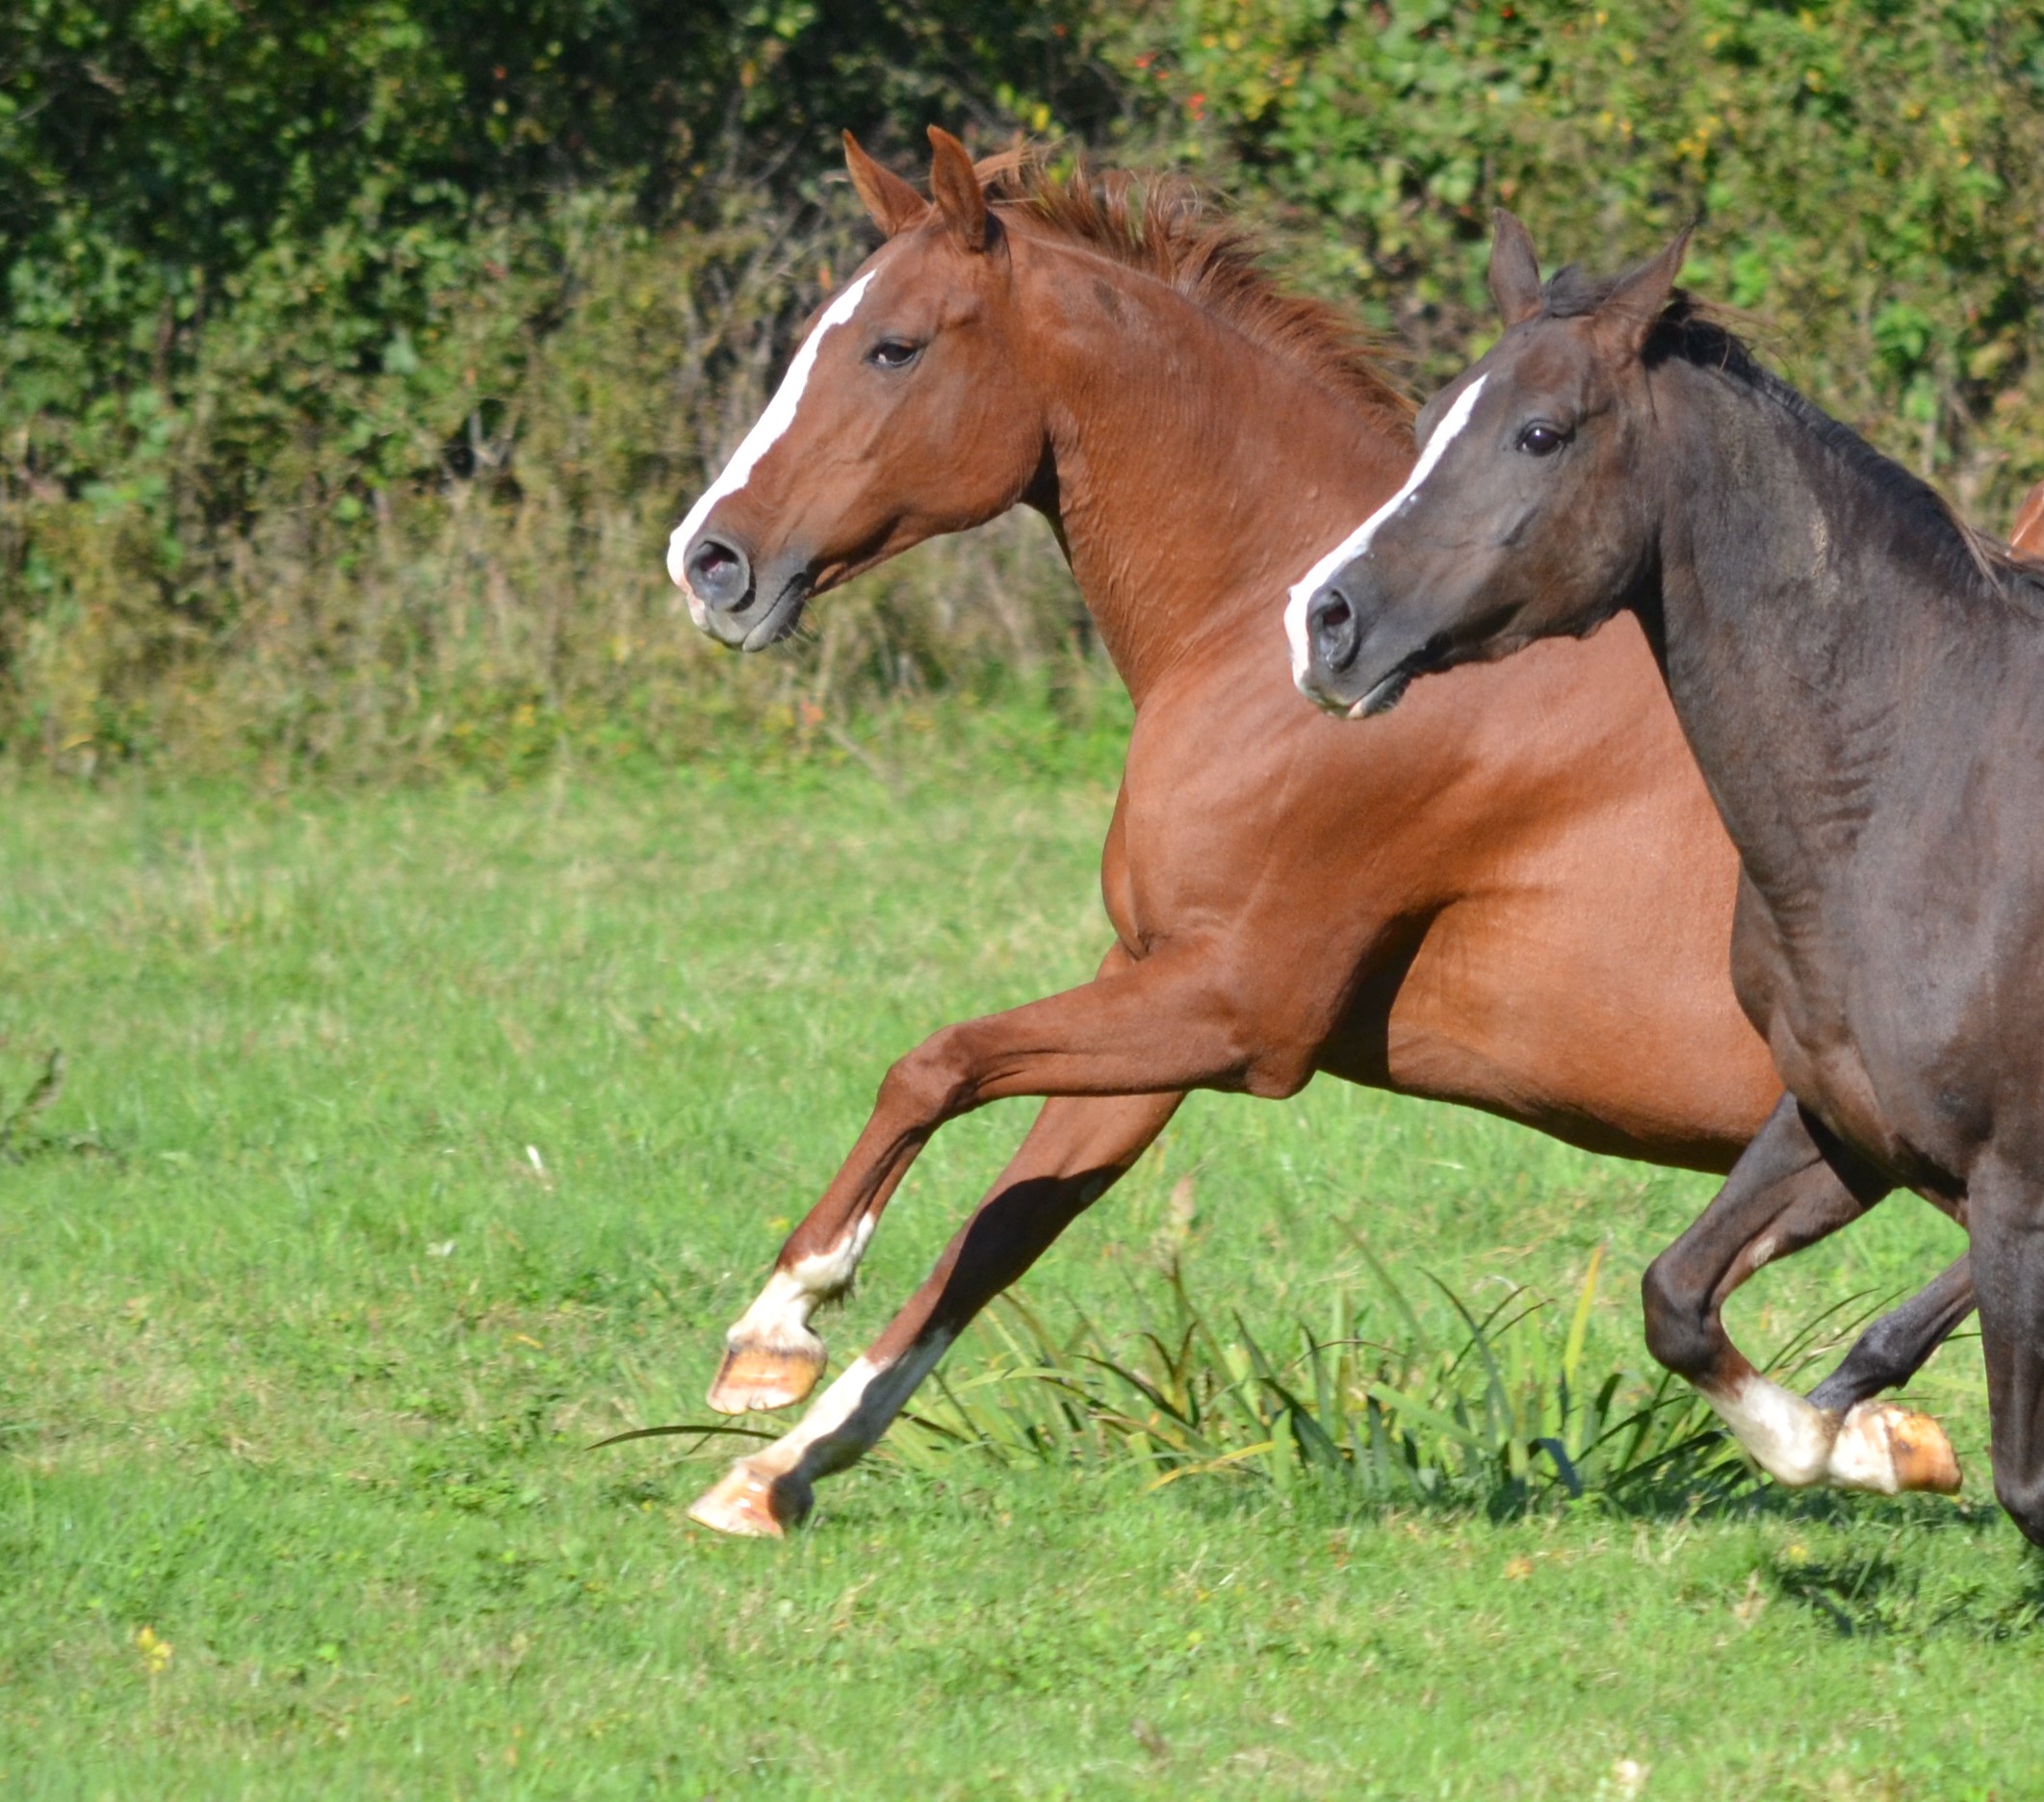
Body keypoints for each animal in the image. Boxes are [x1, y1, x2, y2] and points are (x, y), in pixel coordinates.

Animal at [664, 132, 1965, 1536]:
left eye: (892, 348)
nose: (708, 560)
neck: (1261, 636)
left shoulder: (1238, 1007)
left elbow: (933, 1065)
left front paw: (774, 1330)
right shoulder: (1157, 996)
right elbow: (998, 1234)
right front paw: (777, 1472)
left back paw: (1857, 1430)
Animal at [1291, 211, 2044, 1537]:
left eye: (1540, 432)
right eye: (1433, 414)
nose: (1324, 622)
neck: (1916, 793)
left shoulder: (2010, 1186)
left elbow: (2024, 1483)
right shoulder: (1837, 1124)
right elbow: (1675, 1300)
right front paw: (1855, 1443)